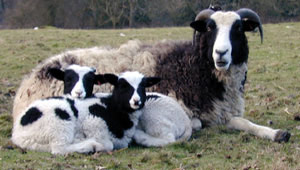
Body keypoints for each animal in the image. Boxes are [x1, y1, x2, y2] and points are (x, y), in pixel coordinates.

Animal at [12, 8, 290, 143]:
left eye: (239, 28)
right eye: (210, 27)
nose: (221, 53)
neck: (195, 67)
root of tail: (27, 82)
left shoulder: (221, 112)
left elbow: (245, 123)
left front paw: (276, 134)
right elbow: (197, 123)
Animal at [12, 65, 159, 154]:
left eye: (143, 87)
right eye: (123, 86)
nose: (136, 101)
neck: (113, 107)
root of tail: (17, 133)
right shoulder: (93, 122)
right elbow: (109, 145)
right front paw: (98, 145)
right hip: (59, 121)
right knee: (60, 148)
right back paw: (90, 145)